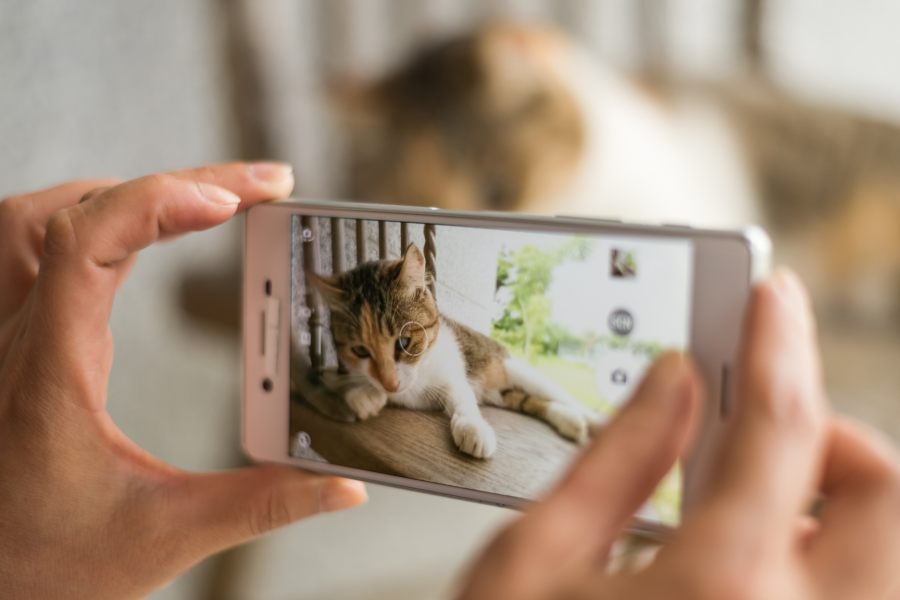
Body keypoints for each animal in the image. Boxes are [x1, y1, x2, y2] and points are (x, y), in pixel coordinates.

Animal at [306, 244, 600, 460]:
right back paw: (570, 421)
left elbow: (462, 397)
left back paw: (589, 420)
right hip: (499, 394)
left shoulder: (454, 375)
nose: (390, 384)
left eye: (404, 342)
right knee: (526, 400)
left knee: (561, 397)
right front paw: (363, 394)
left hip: (517, 371)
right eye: (359, 350)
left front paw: (472, 427)